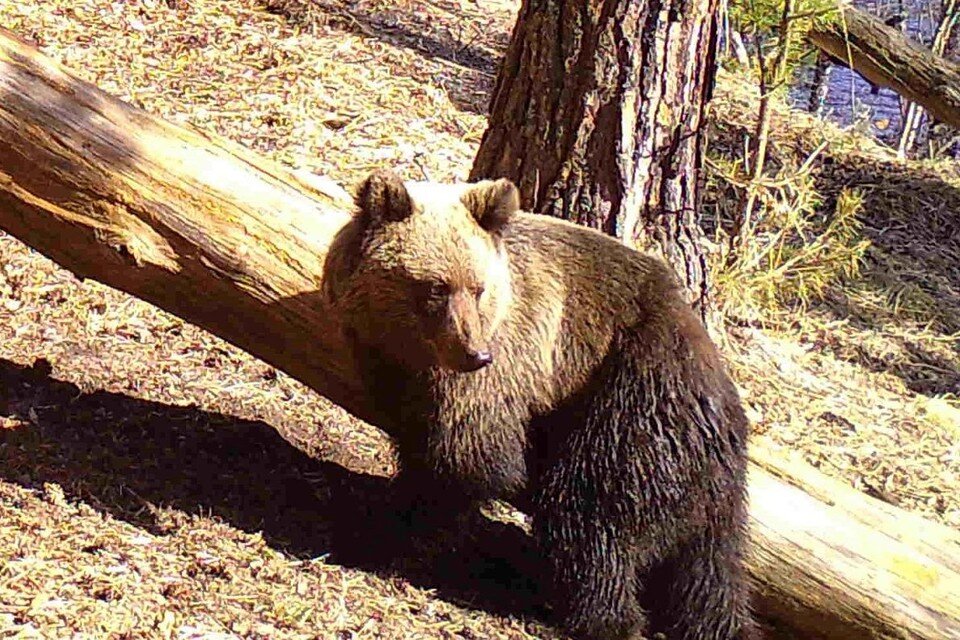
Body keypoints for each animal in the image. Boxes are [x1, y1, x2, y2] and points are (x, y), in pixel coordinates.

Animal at [324, 169, 756, 640]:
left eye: (478, 288)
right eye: (436, 287)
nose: (475, 354)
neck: (408, 352)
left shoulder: (501, 367)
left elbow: (468, 459)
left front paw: (398, 533)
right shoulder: (393, 370)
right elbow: (416, 438)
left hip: (633, 411)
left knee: (588, 515)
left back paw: (596, 615)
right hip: (715, 507)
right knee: (708, 577)